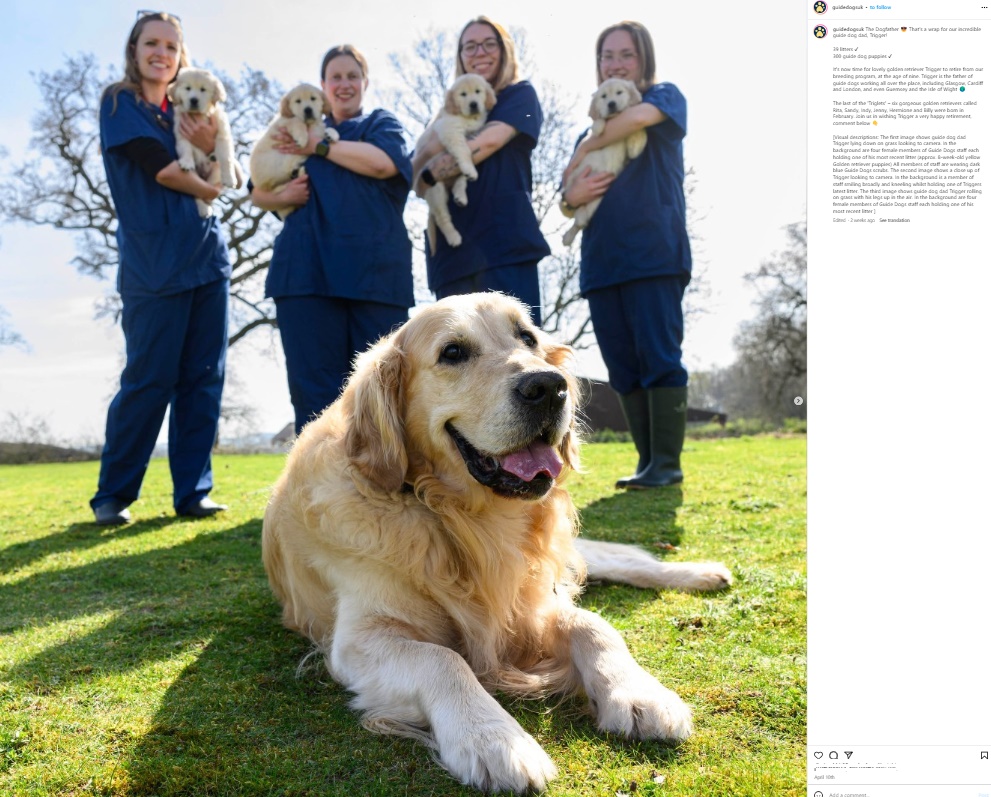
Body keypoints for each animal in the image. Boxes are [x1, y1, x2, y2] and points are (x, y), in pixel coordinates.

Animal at [169, 67, 240, 218]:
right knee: (196, 193)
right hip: (192, 178)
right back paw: (203, 208)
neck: (199, 116)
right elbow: (186, 149)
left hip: (214, 173)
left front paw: (230, 178)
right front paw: (186, 162)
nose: (194, 100)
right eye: (188, 88)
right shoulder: (181, 134)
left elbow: (226, 158)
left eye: (203, 89)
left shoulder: (223, 135)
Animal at [250, 83, 340, 221]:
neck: (310, 124)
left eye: (313, 98)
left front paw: (332, 134)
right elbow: (296, 121)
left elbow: (326, 128)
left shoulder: (317, 129)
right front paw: (302, 138)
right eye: (298, 101)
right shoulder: (283, 123)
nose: (308, 110)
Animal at [260, 292, 732, 796]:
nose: (549, 386)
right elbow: (442, 659)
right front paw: (494, 740)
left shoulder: (532, 601)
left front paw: (640, 693)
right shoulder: (358, 638)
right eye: (452, 352)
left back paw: (701, 573)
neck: (461, 517)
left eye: (528, 338)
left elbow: (593, 624)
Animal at [416, 72, 500, 252]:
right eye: (463, 94)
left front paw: (469, 172)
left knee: (460, 180)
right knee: (442, 218)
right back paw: (453, 236)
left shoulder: (474, 133)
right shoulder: (450, 130)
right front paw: (470, 167)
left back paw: (461, 195)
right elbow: (464, 151)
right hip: (436, 190)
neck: (467, 117)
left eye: (478, 91)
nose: (474, 104)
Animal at [560, 78, 652, 246]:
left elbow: (638, 134)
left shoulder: (634, 149)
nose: (611, 104)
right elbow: (595, 124)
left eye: (619, 92)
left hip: (595, 203)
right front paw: (598, 125)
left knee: (579, 221)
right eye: (603, 96)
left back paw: (570, 233)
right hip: (573, 182)